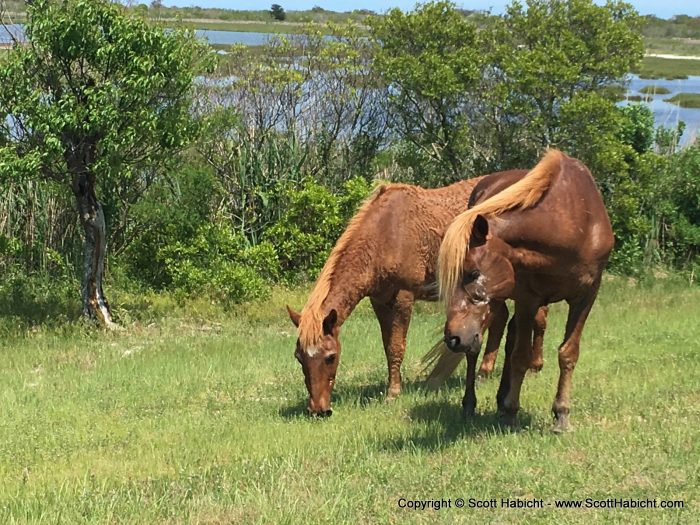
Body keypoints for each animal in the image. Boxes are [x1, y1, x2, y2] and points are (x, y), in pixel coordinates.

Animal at [286, 178, 548, 416]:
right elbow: (387, 346)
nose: (318, 410)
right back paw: (487, 371)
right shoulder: (380, 301)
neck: (384, 232)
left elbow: (397, 346)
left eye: (330, 357)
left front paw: (393, 394)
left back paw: (531, 366)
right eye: (299, 357)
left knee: (534, 319)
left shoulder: (403, 298)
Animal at [426, 149, 612, 432]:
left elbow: (568, 353)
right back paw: (471, 404)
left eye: (473, 273)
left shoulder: (585, 296)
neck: (573, 223)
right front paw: (512, 412)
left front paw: (561, 415)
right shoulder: (528, 298)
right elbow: (520, 356)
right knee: (479, 349)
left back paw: (501, 398)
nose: (453, 339)